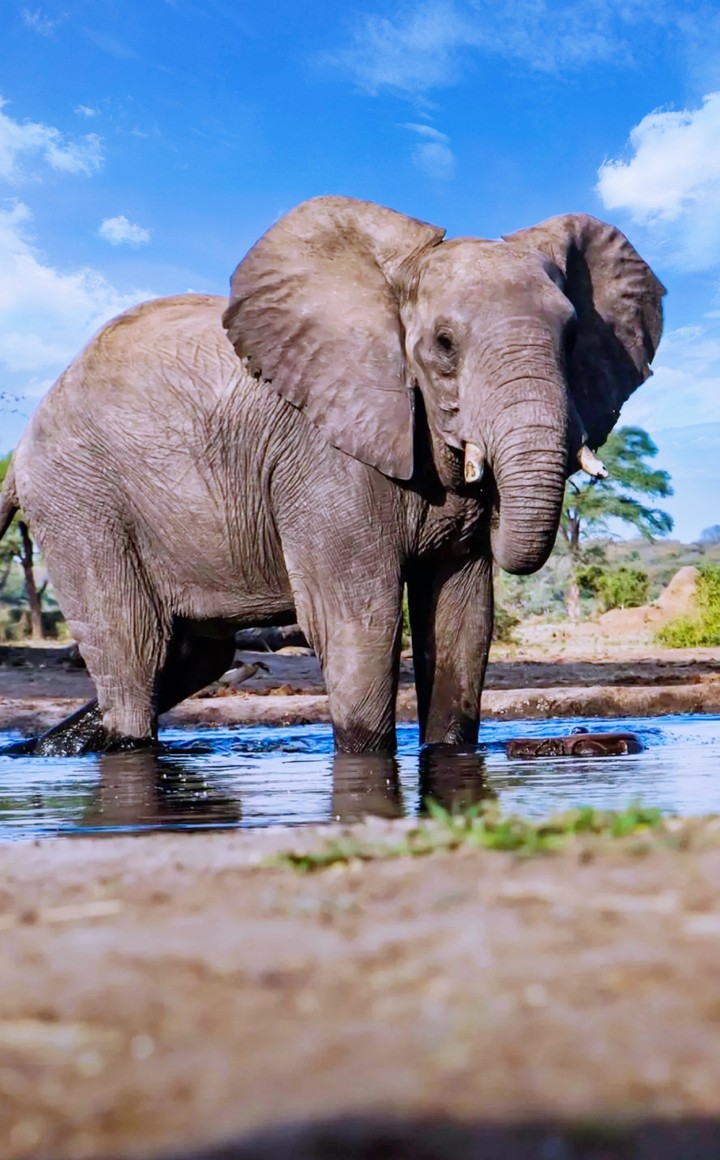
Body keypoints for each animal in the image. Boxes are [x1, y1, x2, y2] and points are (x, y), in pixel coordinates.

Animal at [0, 195, 664, 756]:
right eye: (444, 344)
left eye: (574, 339)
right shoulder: (322, 455)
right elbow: (359, 619)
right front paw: (365, 757)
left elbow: (462, 617)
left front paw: (449, 752)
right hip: (79, 497)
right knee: (134, 648)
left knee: (194, 654)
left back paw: (52, 749)